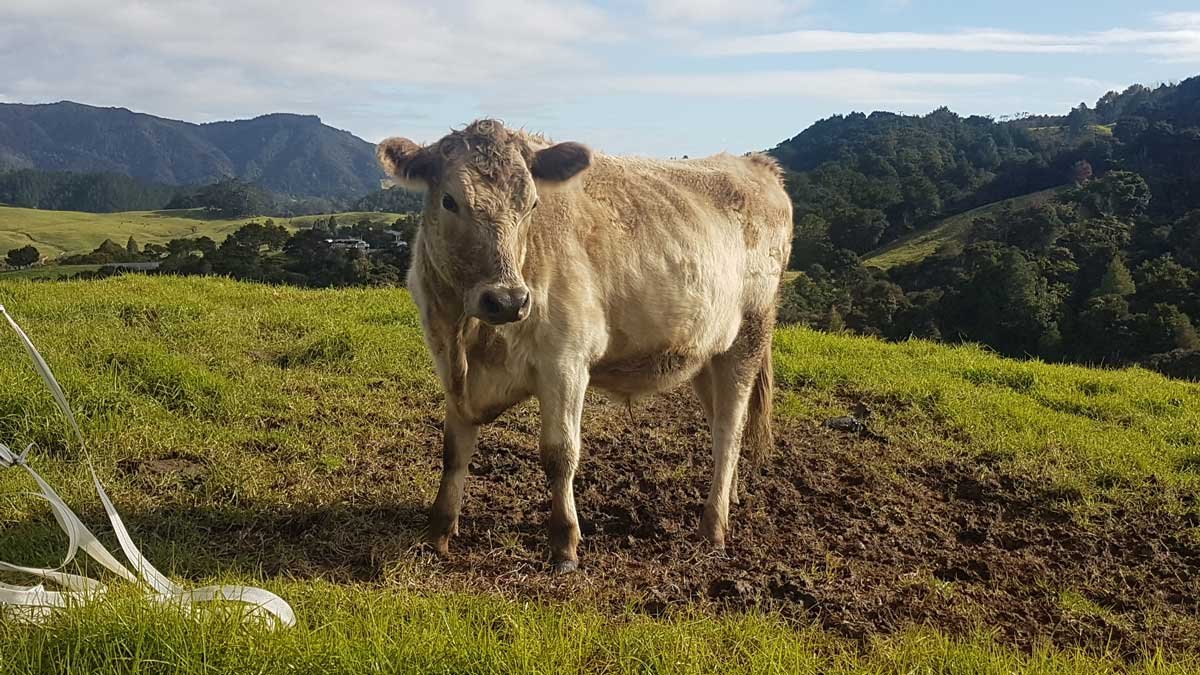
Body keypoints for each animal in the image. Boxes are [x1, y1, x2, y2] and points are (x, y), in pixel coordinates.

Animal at [379, 118, 792, 569]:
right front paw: (438, 532)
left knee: (729, 429)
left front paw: (564, 543)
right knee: (721, 423)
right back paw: (730, 498)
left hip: (750, 334)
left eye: (532, 205)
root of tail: (753, 163)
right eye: (449, 201)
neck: (469, 339)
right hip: (707, 352)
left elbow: (559, 454)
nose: (507, 300)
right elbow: (453, 451)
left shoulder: (566, 361)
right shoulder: (449, 365)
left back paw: (714, 526)